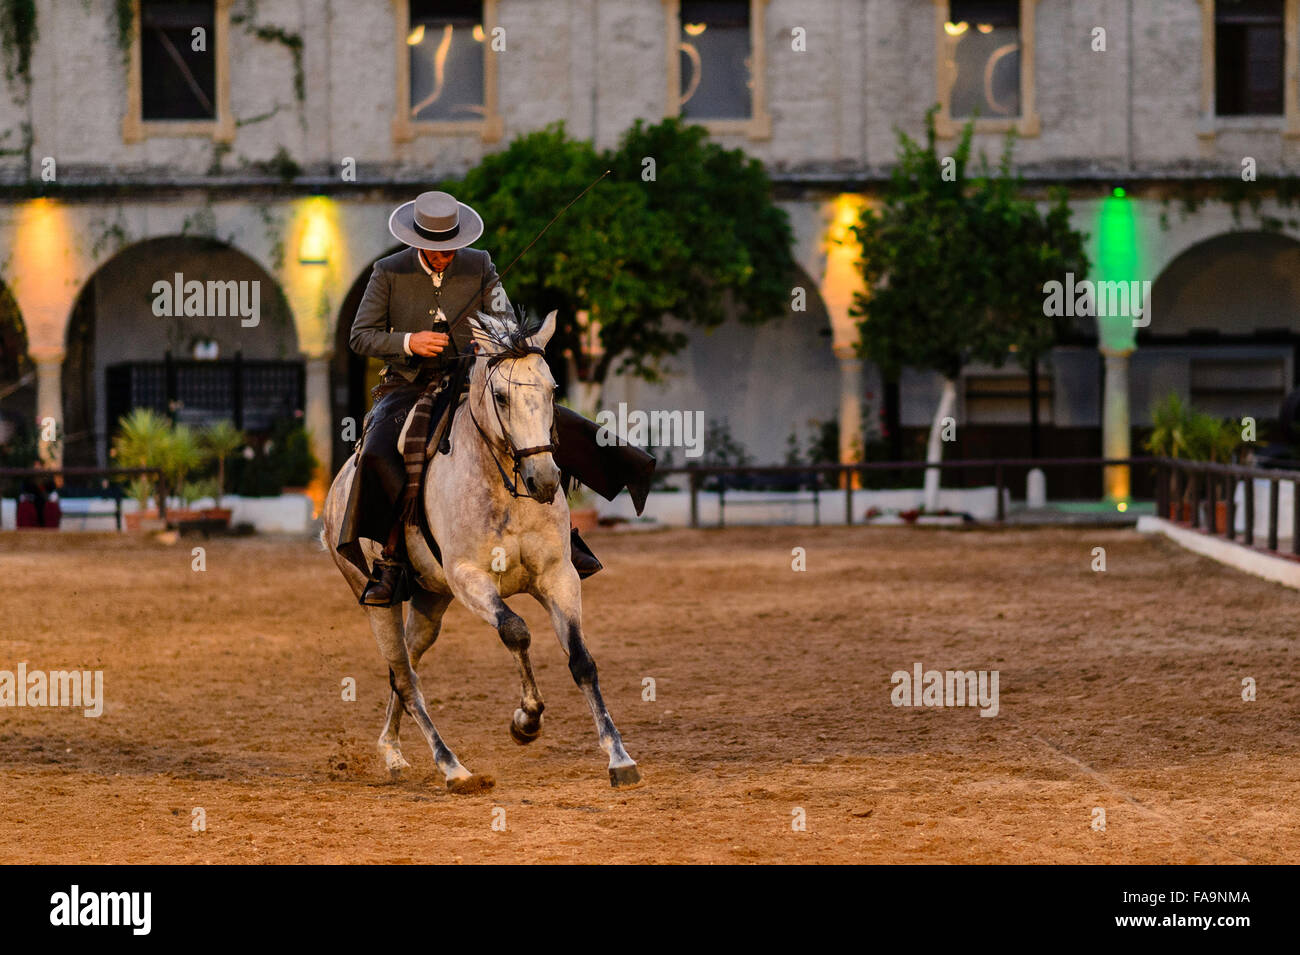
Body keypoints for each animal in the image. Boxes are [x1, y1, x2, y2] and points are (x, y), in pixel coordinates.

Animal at [319, 311, 634, 789]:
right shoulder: (470, 578)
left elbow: (582, 661)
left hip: (430, 600)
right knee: (406, 679)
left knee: (405, 667)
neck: (506, 488)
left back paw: (392, 752)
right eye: (501, 396)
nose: (544, 480)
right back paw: (452, 767)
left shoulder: (558, 576)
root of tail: (335, 495)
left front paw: (618, 756)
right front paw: (526, 721)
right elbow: (516, 631)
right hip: (378, 601)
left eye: (552, 389)